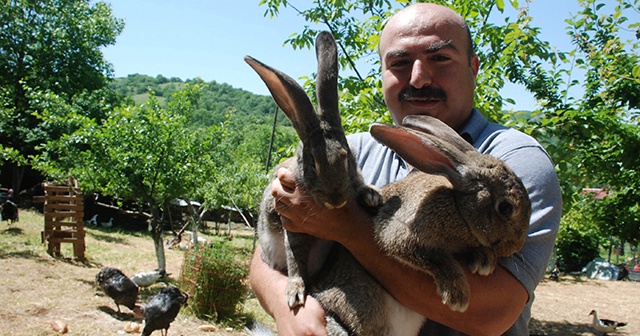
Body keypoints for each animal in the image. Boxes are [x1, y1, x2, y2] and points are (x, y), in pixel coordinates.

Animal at [244, 31, 380, 310]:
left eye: (347, 158)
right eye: (312, 164)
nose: (336, 200)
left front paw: (372, 194)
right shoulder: (293, 229)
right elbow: (295, 260)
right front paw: (295, 293)